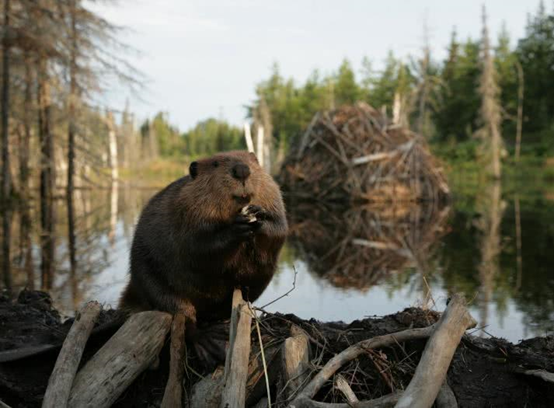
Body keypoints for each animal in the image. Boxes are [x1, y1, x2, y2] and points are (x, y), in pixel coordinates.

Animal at [118, 150, 286, 364]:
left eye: (253, 161)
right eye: (215, 164)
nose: (242, 170)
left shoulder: (273, 194)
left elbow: (280, 228)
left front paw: (259, 217)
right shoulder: (185, 209)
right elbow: (199, 245)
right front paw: (236, 227)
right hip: (154, 283)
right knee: (183, 317)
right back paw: (210, 343)